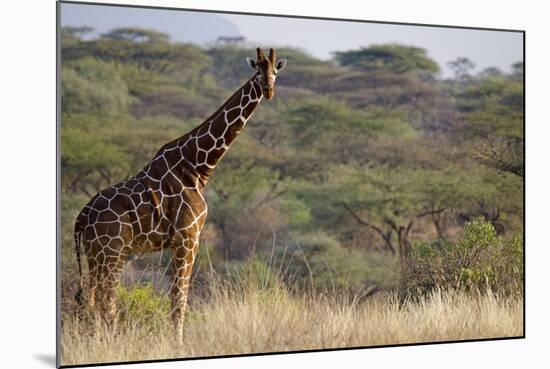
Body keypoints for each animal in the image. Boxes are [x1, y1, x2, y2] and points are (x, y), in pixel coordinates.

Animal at [73, 47, 288, 340]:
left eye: (275, 71)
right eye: (257, 72)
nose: (269, 90)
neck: (197, 167)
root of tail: (81, 217)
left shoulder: (182, 241)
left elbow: (177, 298)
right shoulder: (188, 238)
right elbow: (179, 299)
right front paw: (178, 343)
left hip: (97, 255)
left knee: (92, 297)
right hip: (112, 252)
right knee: (105, 298)